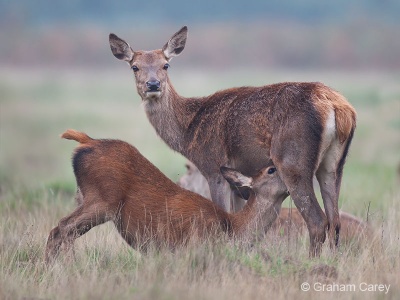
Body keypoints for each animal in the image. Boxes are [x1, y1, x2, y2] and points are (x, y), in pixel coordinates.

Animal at [44, 130, 288, 264]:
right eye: (271, 169)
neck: (233, 228)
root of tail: (87, 140)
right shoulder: (193, 245)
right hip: (102, 200)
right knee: (62, 228)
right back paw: (67, 266)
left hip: (85, 198)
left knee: (62, 231)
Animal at [108, 26, 356, 255]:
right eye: (135, 66)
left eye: (165, 65)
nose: (153, 85)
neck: (190, 132)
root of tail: (338, 107)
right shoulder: (239, 179)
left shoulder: (213, 167)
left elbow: (222, 211)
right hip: (334, 165)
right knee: (335, 221)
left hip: (293, 161)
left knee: (317, 220)